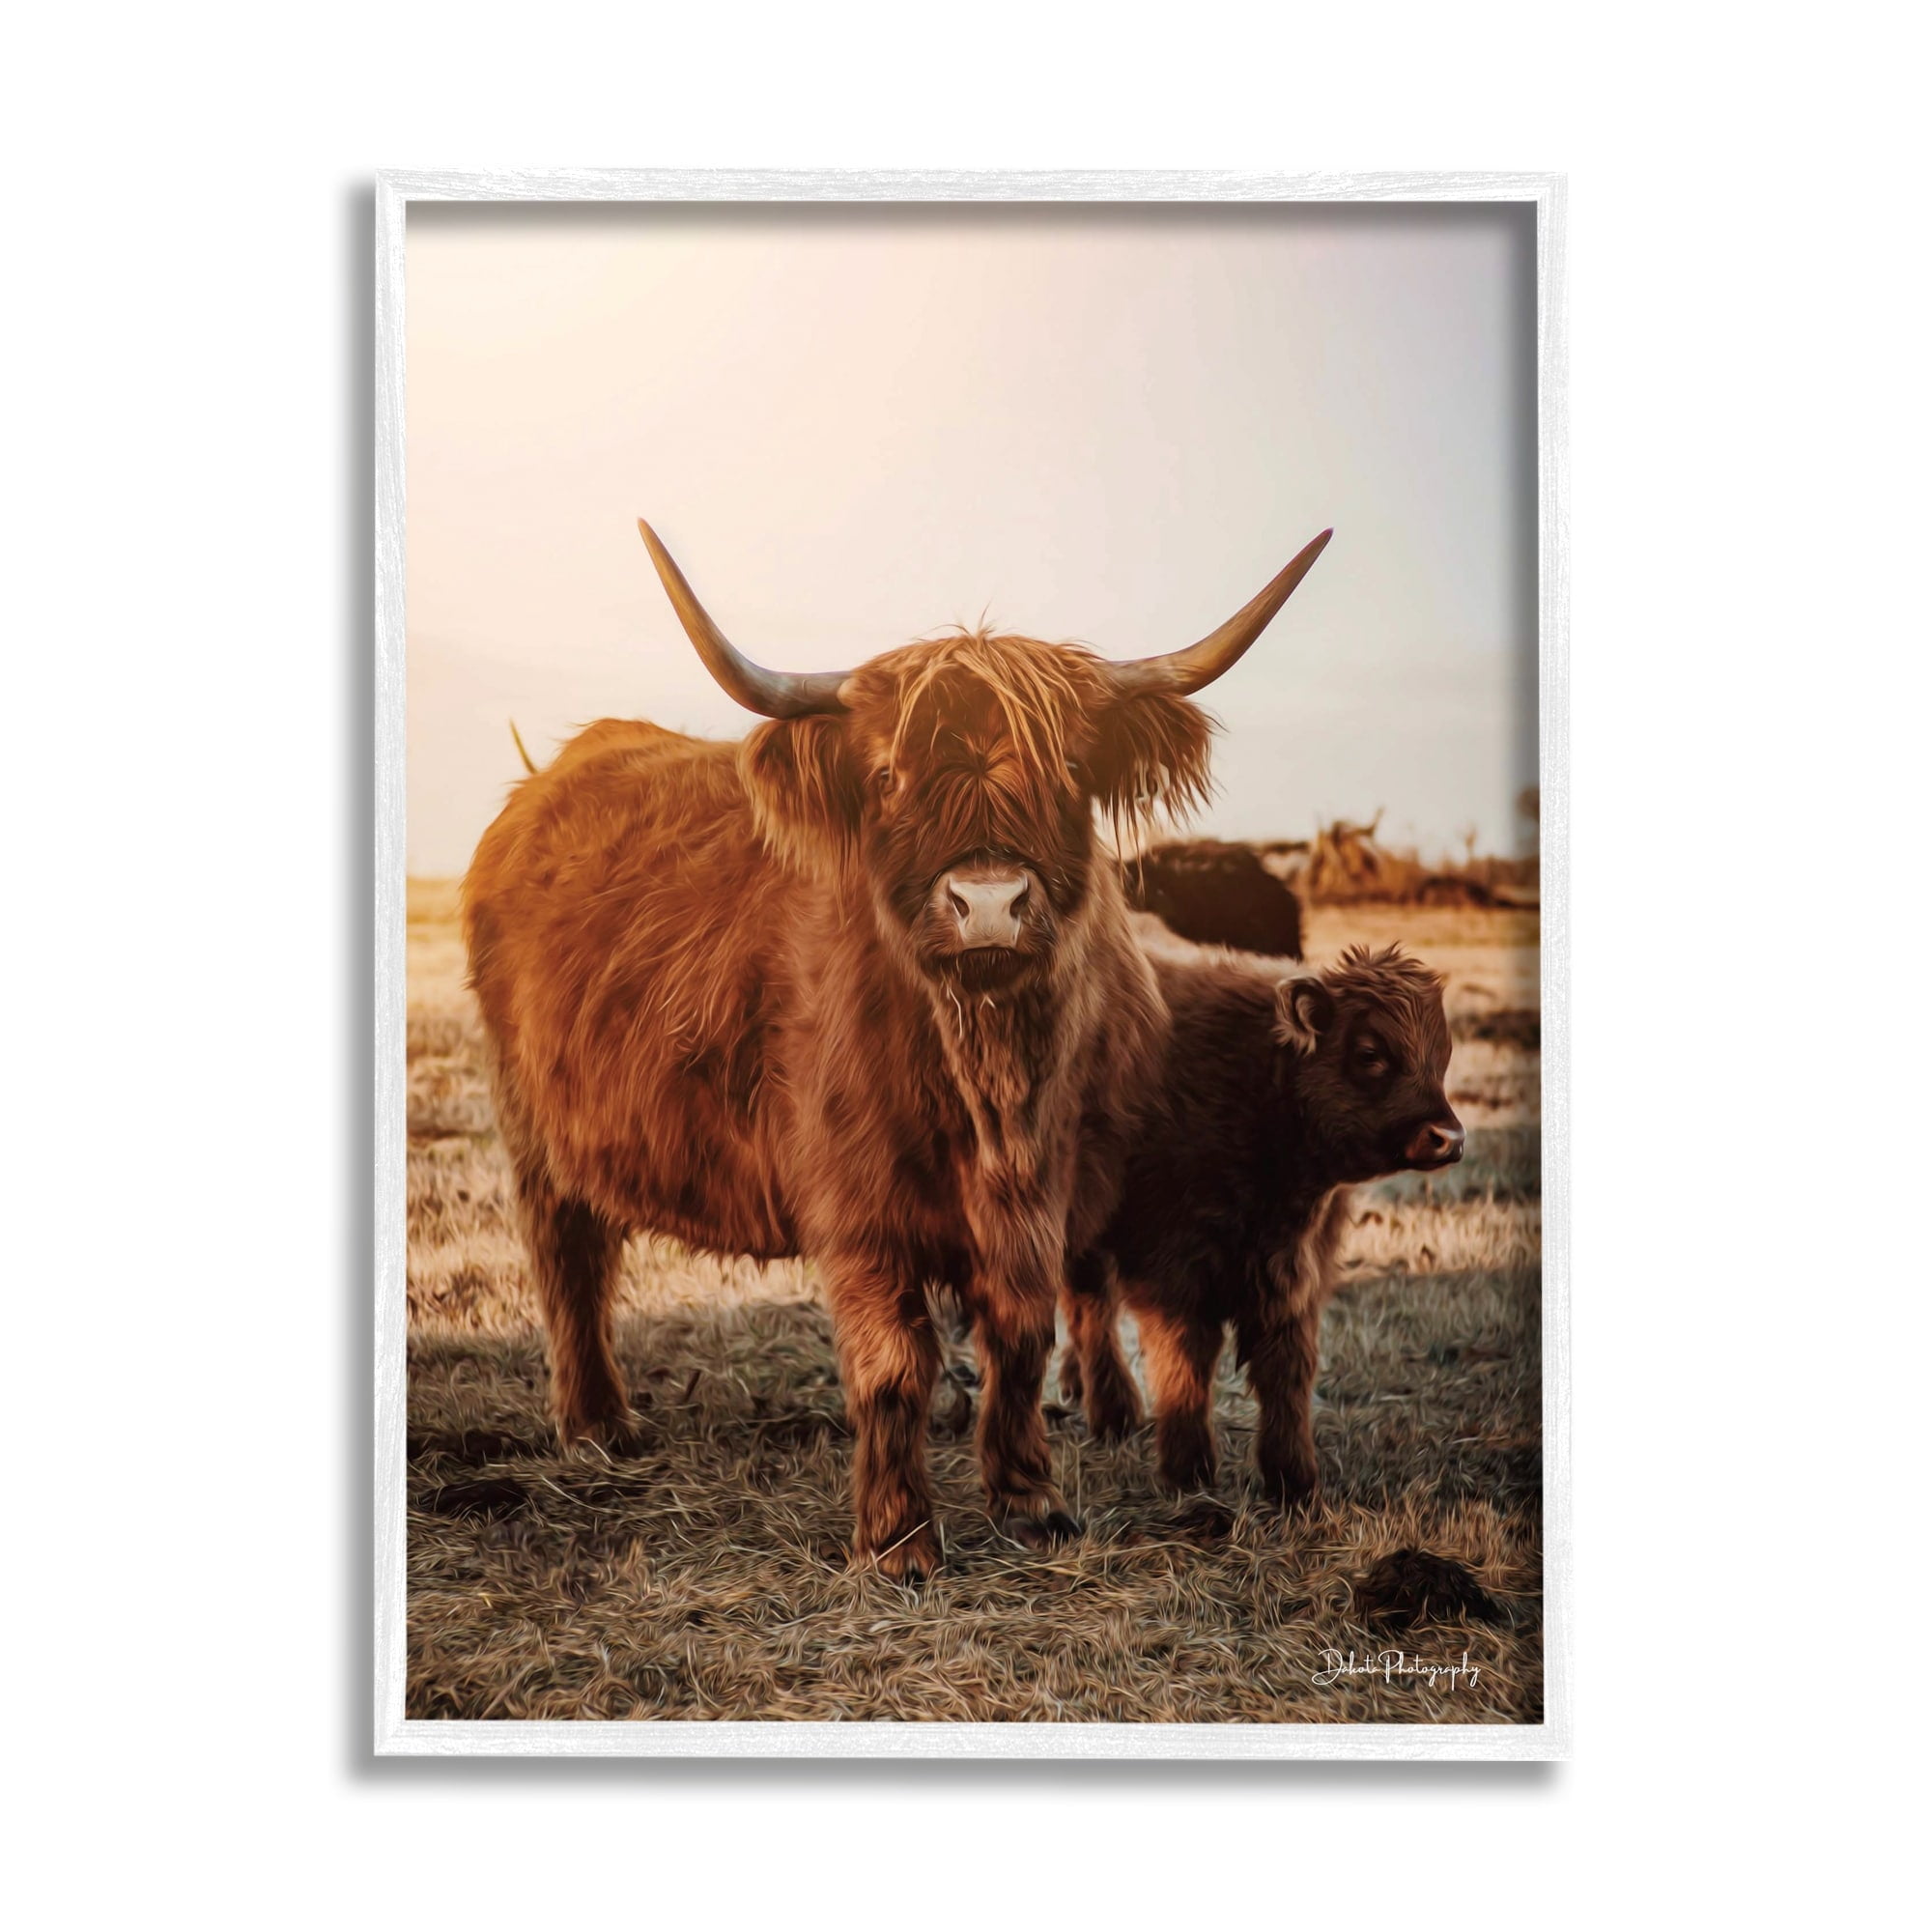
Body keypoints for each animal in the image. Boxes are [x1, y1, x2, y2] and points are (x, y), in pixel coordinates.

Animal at [1058, 942, 1461, 1511]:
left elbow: (1287, 1369)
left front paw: (1294, 1481)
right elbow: (1185, 1362)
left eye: (1442, 1056)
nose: (1448, 1137)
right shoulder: (1172, 1272)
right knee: (1089, 1307)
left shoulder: (1295, 1276)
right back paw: (1113, 1412)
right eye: (1370, 1053)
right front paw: (1189, 1472)